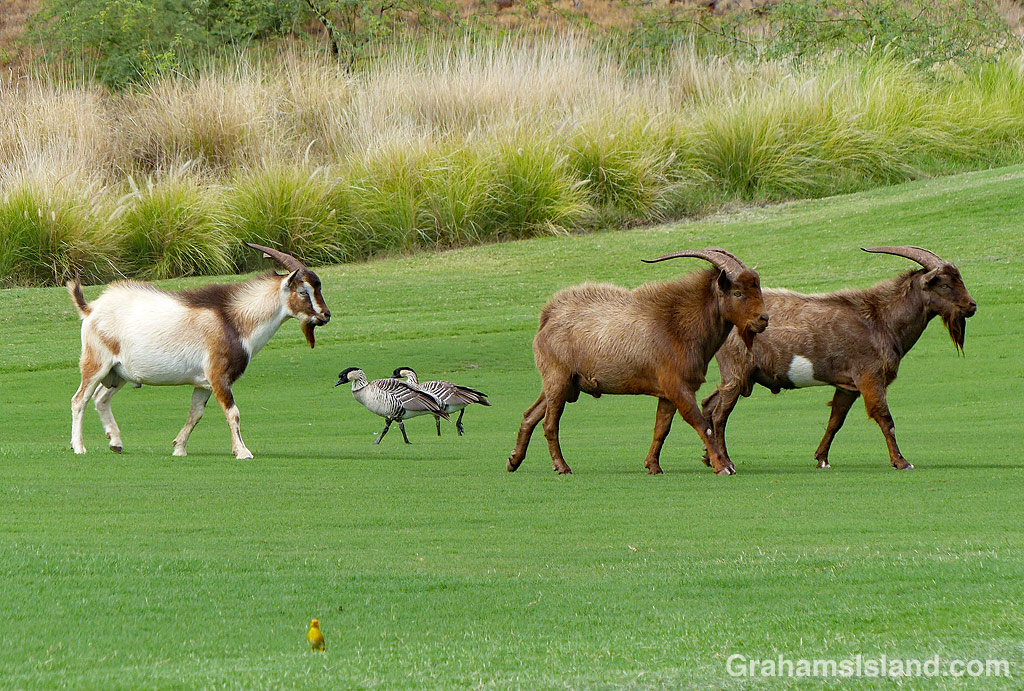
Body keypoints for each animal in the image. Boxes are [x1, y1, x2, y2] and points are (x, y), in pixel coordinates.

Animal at [67, 243, 331, 459]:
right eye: (303, 291)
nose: (326, 315)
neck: (234, 319)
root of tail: (90, 309)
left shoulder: (203, 383)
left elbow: (195, 414)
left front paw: (179, 448)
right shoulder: (219, 376)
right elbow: (233, 412)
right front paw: (242, 451)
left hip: (118, 373)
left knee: (101, 398)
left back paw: (116, 443)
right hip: (96, 363)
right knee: (79, 399)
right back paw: (79, 447)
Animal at [507, 248, 768, 476]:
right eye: (738, 293)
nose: (763, 319)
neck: (676, 326)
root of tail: (547, 318)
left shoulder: (667, 393)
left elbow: (661, 429)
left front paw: (653, 466)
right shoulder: (678, 386)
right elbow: (702, 423)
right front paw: (722, 466)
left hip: (563, 383)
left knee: (531, 414)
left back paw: (513, 460)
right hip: (557, 378)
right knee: (550, 423)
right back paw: (562, 467)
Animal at [701, 246, 977, 471]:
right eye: (944, 285)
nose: (972, 305)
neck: (880, 319)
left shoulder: (848, 386)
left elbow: (836, 420)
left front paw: (822, 459)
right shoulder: (869, 376)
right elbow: (885, 417)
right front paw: (901, 461)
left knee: (708, 404)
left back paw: (708, 457)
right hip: (737, 371)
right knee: (720, 414)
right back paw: (726, 463)